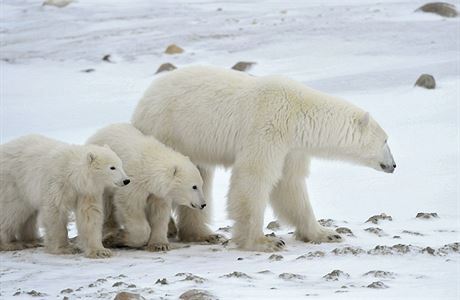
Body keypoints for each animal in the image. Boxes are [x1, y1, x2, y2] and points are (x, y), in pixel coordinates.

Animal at [0, 135, 129, 256]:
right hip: (13, 184)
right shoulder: (57, 183)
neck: (72, 175)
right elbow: (55, 211)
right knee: (12, 212)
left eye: (121, 165)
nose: (126, 180)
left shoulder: (86, 191)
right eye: (112, 167)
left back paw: (33, 240)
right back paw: (9, 244)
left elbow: (89, 214)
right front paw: (65, 248)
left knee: (28, 215)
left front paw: (100, 251)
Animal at [86, 122, 208, 251]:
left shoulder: (158, 193)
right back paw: (109, 232)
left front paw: (159, 244)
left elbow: (159, 213)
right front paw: (117, 238)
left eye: (201, 184)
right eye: (194, 186)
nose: (203, 204)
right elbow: (130, 206)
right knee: (107, 206)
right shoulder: (132, 182)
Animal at [131, 65, 398, 251]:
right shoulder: (268, 129)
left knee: (199, 177)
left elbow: (289, 186)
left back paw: (202, 234)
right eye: (386, 140)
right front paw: (263, 242)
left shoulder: (291, 148)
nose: (394, 165)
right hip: (168, 131)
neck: (298, 114)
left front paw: (326, 233)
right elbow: (254, 178)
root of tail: (143, 100)